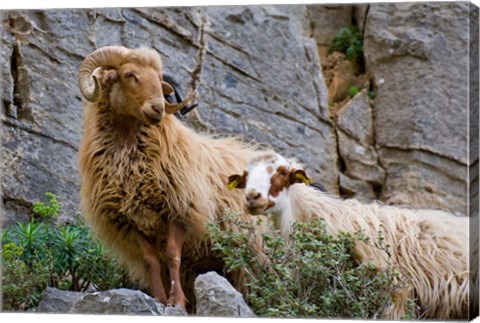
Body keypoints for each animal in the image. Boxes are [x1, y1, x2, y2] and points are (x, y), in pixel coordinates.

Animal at [77, 45, 268, 308]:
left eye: (159, 80)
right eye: (128, 74)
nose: (158, 109)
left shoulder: (179, 210)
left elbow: (172, 255)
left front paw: (176, 301)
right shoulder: (131, 222)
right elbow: (152, 261)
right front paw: (159, 298)